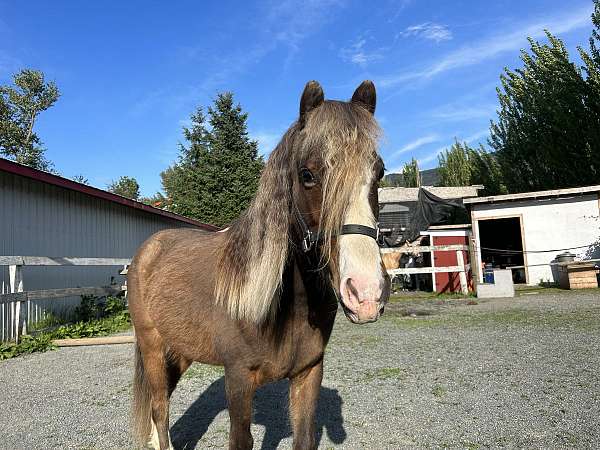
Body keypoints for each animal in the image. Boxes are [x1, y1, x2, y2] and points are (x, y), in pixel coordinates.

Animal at [129, 81, 392, 450]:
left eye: (379, 172)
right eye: (307, 174)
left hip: (178, 350)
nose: (366, 293)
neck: (285, 306)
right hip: (152, 345)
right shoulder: (238, 379)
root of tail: (148, 250)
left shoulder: (309, 373)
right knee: (159, 407)